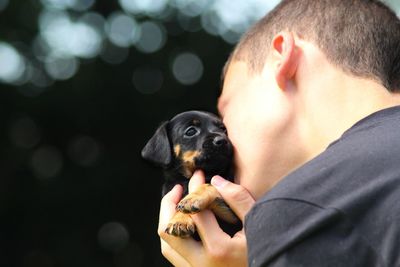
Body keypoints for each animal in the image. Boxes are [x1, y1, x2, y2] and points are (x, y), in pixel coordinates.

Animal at [141, 110, 239, 239]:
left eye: (223, 129)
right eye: (191, 131)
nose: (222, 140)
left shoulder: (231, 217)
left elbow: (209, 184)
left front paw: (192, 199)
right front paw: (180, 220)